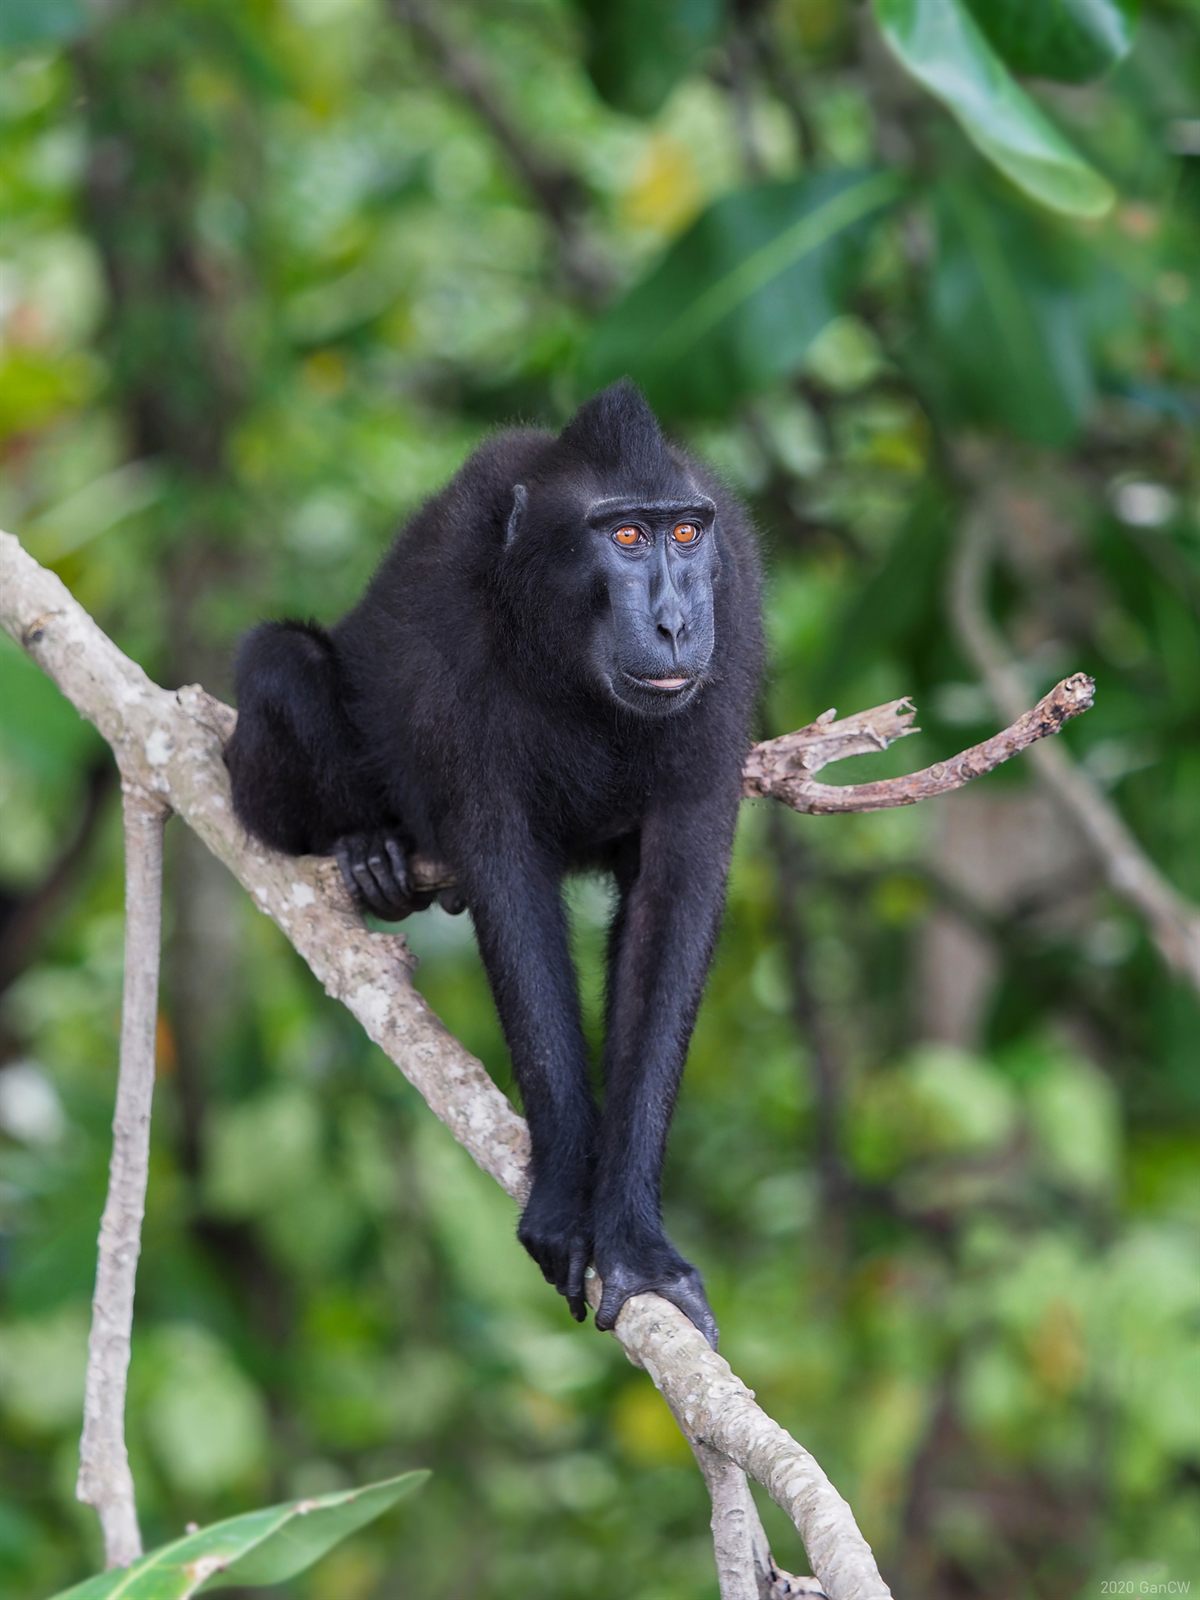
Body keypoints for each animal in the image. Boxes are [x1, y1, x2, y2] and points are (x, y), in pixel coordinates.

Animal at [225, 382, 763, 1346]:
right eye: (626, 537)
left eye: (685, 533)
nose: (675, 622)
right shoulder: (455, 637)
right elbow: (508, 878)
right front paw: (560, 1203)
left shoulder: (731, 627)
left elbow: (673, 896)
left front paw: (636, 1242)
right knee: (281, 662)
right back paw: (368, 847)